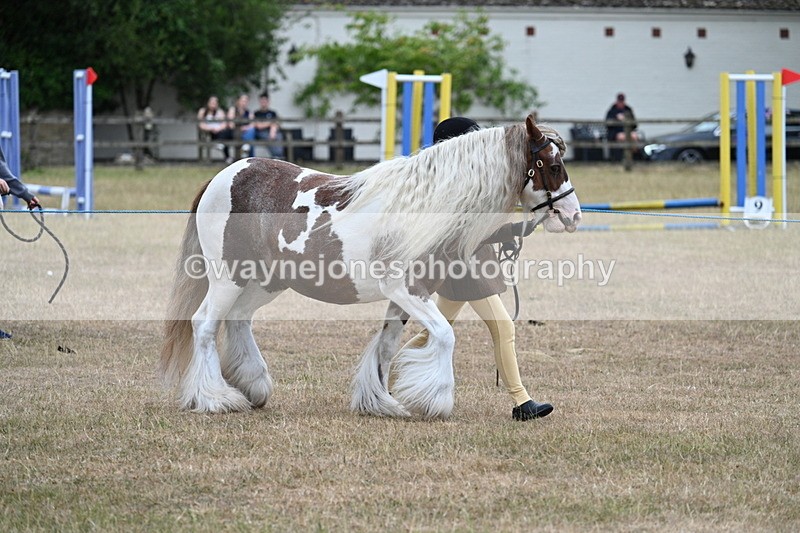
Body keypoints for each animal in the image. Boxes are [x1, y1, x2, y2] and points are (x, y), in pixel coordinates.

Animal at [160, 113, 581, 418]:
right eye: (551, 164)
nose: (573, 216)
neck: (425, 206)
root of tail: (222, 177)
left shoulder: (407, 298)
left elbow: (388, 345)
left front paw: (382, 403)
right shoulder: (406, 290)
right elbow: (445, 336)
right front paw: (435, 400)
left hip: (265, 282)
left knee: (238, 320)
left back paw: (254, 387)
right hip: (227, 278)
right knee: (204, 324)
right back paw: (214, 398)